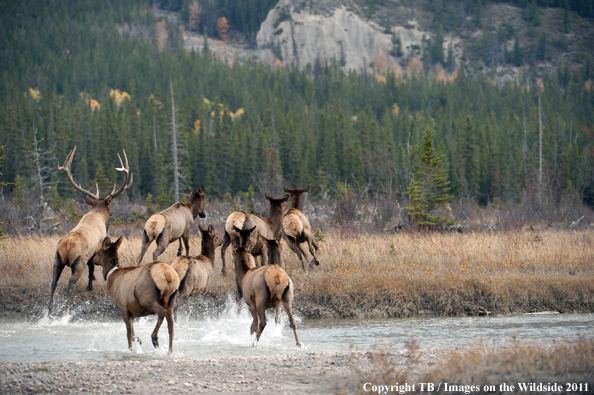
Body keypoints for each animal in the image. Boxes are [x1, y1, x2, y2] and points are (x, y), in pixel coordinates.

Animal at [48, 147, 132, 318]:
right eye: (110, 208)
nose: (112, 212)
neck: (97, 213)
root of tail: (66, 247)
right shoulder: (96, 249)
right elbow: (92, 266)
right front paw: (90, 285)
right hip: (77, 262)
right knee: (70, 283)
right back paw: (66, 311)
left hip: (57, 259)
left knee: (53, 282)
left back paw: (48, 311)